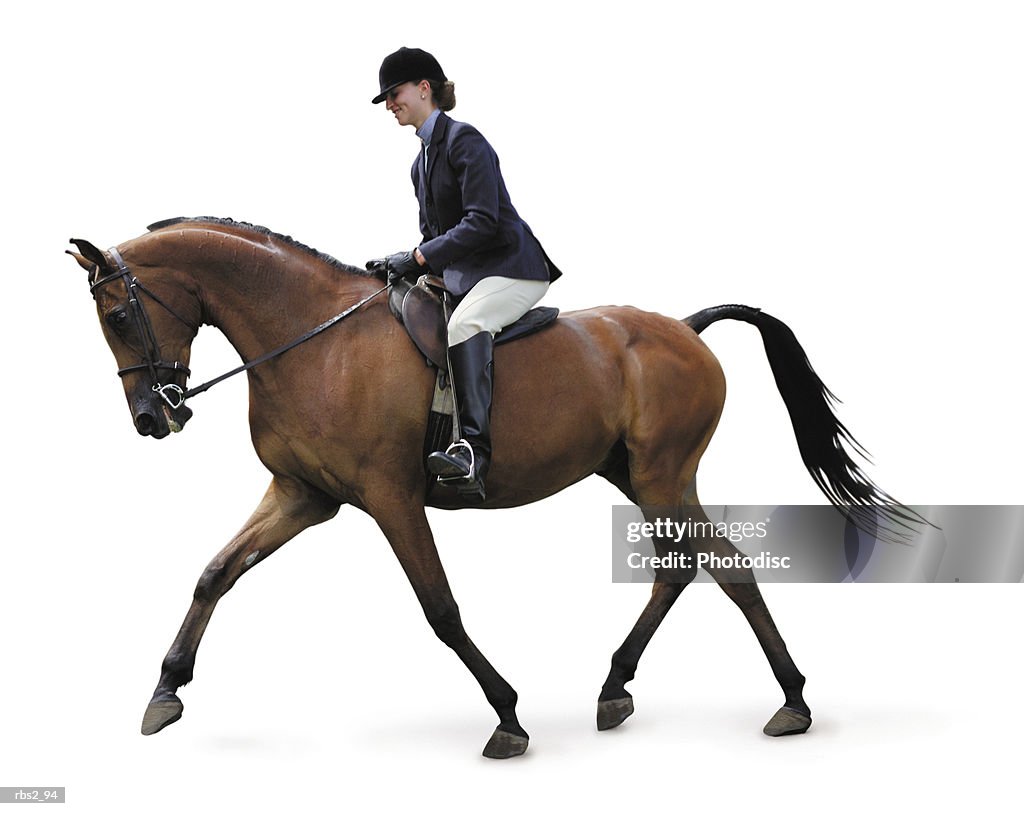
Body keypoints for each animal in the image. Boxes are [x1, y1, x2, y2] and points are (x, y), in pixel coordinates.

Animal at [68, 215, 917, 757]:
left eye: (118, 315)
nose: (152, 417)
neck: (311, 340)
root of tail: (685, 327)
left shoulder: (390, 497)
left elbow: (441, 611)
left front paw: (508, 717)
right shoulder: (302, 495)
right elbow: (215, 573)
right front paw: (165, 693)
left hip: (661, 473)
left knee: (714, 567)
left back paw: (786, 700)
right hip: (643, 473)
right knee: (702, 567)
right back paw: (638, 687)